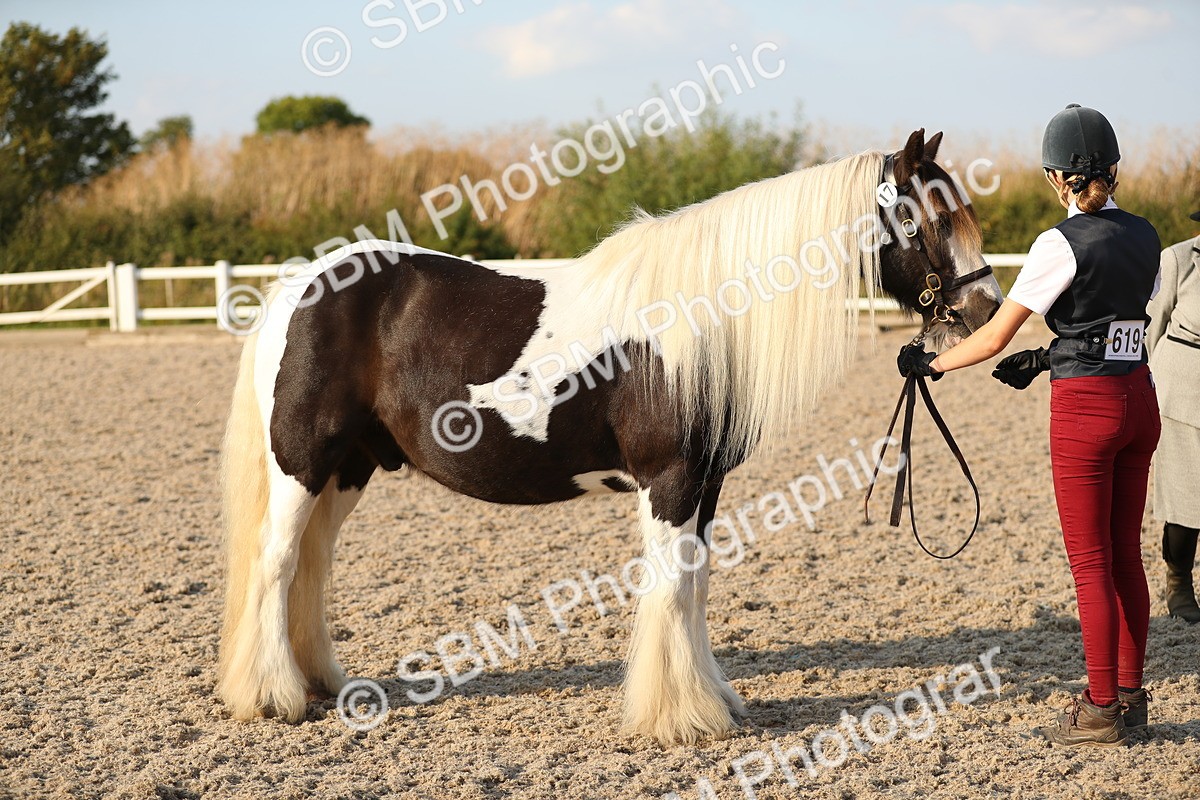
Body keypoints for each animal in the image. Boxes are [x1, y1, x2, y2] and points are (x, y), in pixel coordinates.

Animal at [216, 128, 1004, 745]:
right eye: (930, 216)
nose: (986, 311)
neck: (700, 320)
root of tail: (299, 286)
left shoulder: (705, 486)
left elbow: (695, 585)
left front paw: (712, 699)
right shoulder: (669, 482)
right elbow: (670, 587)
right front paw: (679, 719)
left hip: (348, 469)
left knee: (312, 566)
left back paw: (320, 683)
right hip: (302, 464)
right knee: (277, 561)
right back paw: (272, 698)